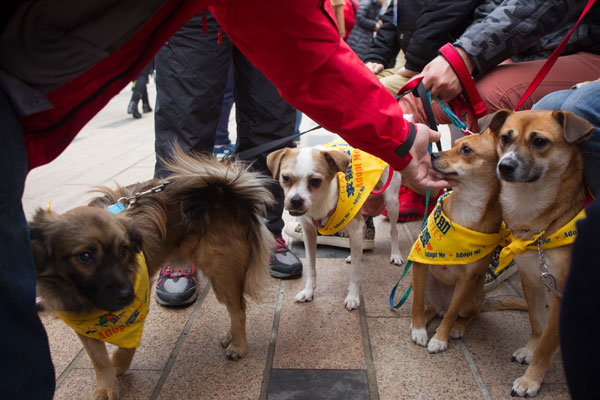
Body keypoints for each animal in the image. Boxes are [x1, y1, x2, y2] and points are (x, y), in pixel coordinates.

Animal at [30, 149, 274, 400]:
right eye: (85, 256)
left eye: (123, 250)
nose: (127, 295)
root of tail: (226, 192)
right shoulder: (81, 323)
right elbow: (98, 360)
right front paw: (105, 386)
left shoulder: (134, 313)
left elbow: (125, 348)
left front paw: (118, 365)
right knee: (233, 305)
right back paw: (230, 336)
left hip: (221, 270)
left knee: (238, 308)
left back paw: (239, 345)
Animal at [268, 142, 404, 310]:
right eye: (285, 178)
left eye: (315, 181)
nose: (296, 200)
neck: (320, 204)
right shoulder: (308, 232)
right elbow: (311, 266)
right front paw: (308, 291)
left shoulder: (354, 226)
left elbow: (355, 274)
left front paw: (353, 296)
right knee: (363, 231)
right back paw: (354, 255)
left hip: (391, 202)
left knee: (393, 231)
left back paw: (395, 254)